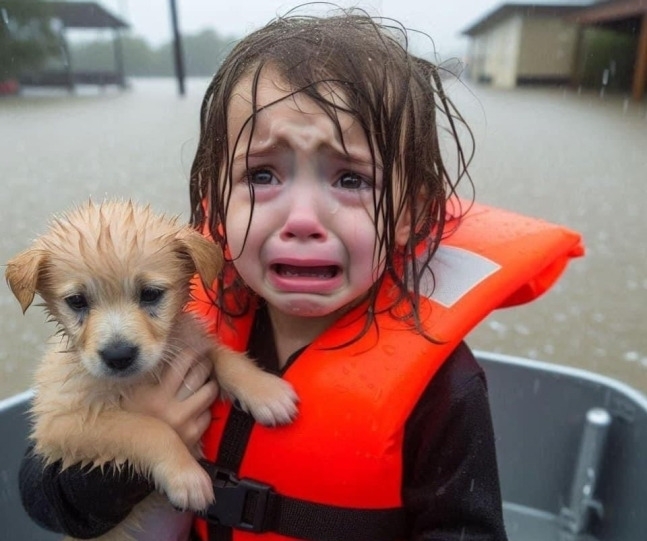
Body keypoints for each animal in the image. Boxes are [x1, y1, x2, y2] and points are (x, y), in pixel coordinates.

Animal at [5, 200, 298, 536]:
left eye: (151, 294)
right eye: (77, 301)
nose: (119, 355)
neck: (139, 377)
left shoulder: (189, 344)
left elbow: (223, 355)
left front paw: (266, 391)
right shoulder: (60, 424)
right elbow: (146, 427)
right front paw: (186, 476)